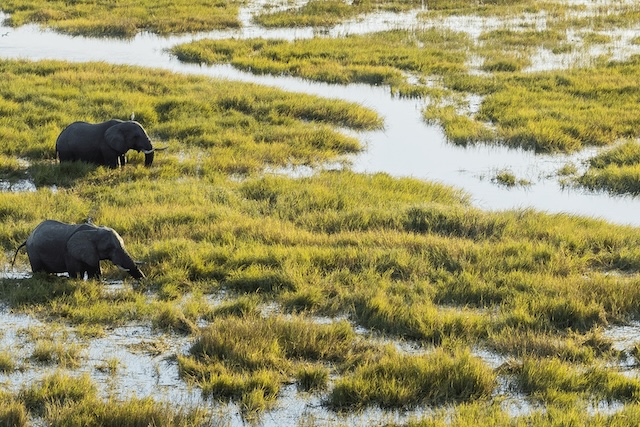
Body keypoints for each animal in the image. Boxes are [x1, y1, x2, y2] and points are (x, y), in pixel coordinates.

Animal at [12, 220, 145, 280]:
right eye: (109, 248)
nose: (144, 280)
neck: (94, 230)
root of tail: (27, 238)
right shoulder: (69, 253)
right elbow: (75, 274)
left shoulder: (91, 253)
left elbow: (95, 272)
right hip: (33, 253)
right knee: (39, 271)